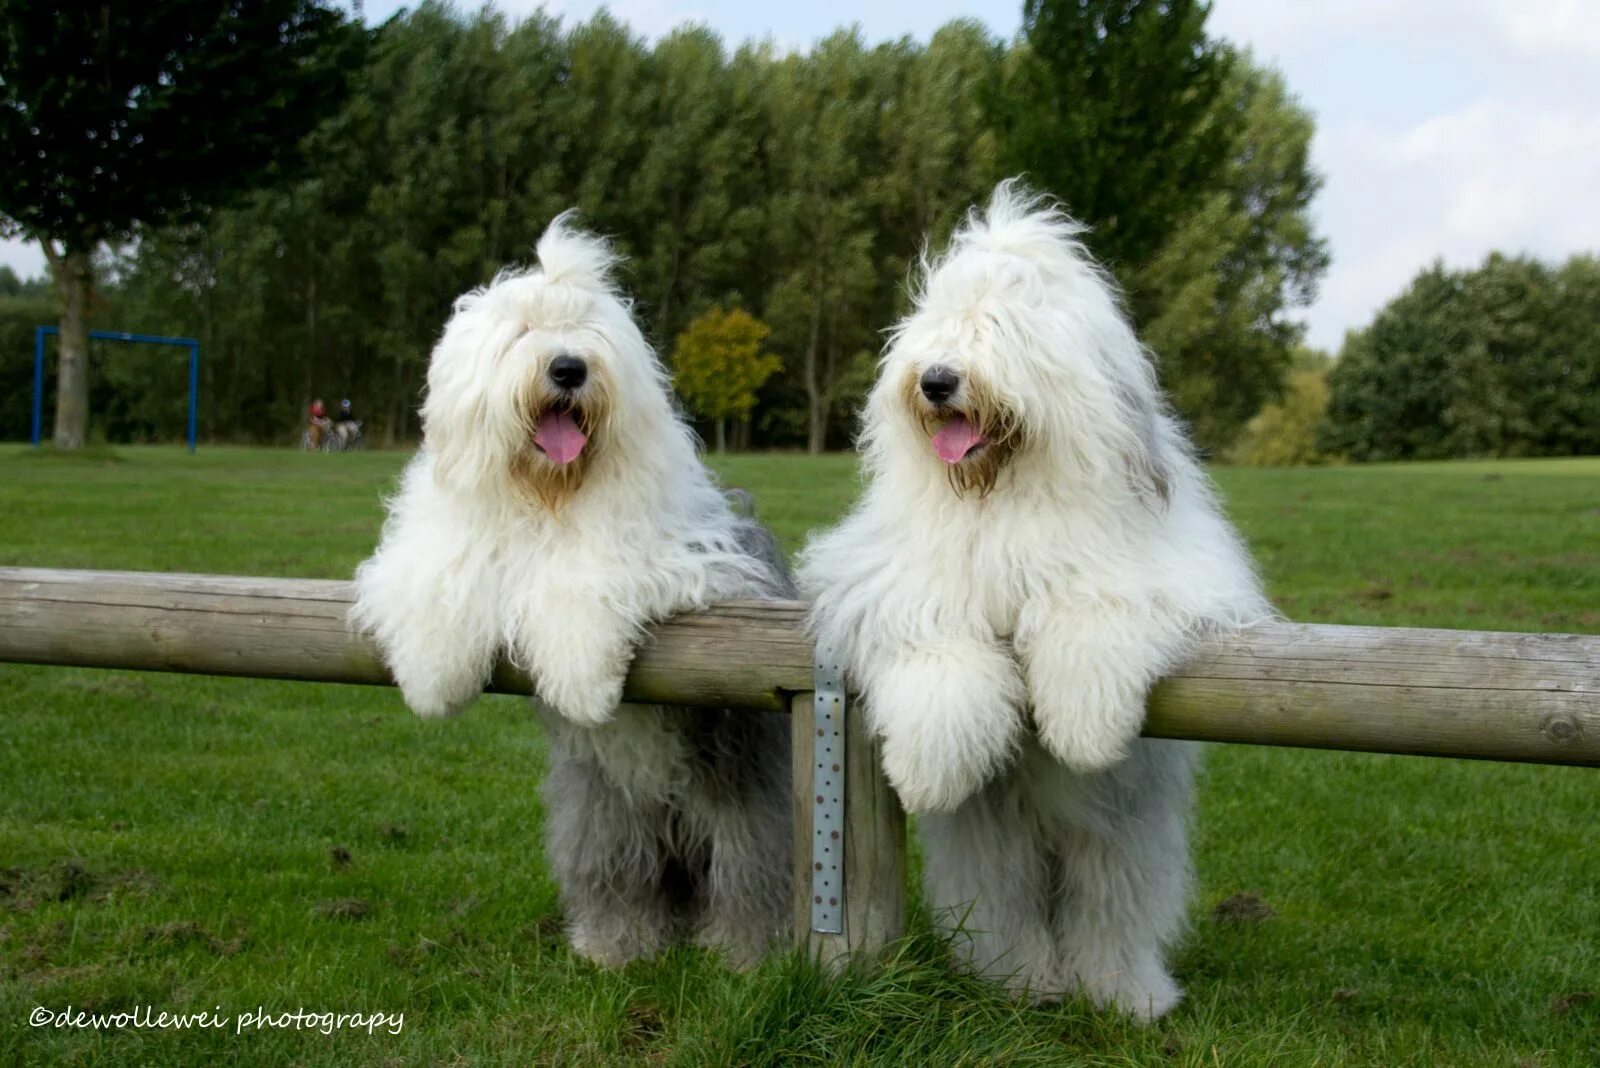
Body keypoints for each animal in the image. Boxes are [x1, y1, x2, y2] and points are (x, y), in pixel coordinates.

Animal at [355, 214, 793, 965]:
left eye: (590, 333)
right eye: (524, 331)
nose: (568, 368)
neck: (550, 494)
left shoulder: (691, 562)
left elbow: (584, 581)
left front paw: (584, 683)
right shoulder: (447, 543)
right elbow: (439, 582)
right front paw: (431, 681)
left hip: (744, 798)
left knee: (751, 873)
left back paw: (742, 952)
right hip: (600, 812)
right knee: (619, 874)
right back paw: (612, 945)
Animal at [800, 183, 1273, 1016]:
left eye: (1004, 329)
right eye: (937, 329)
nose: (937, 380)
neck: (1003, 497)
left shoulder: (1154, 574)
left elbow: (1094, 616)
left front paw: (1082, 726)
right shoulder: (895, 580)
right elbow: (934, 643)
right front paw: (929, 764)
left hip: (1124, 833)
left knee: (1114, 907)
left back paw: (1125, 994)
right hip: (992, 847)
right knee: (1005, 903)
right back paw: (1023, 981)